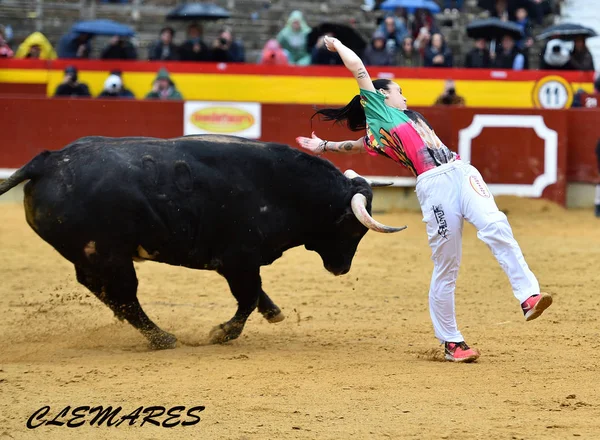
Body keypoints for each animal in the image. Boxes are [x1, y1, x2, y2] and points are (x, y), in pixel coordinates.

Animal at [0, 136, 406, 348]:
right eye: (354, 230)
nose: (342, 268)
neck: (283, 190)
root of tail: (47, 161)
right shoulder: (238, 259)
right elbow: (246, 298)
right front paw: (222, 333)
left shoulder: (240, 262)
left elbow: (254, 294)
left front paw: (273, 312)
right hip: (110, 255)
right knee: (124, 295)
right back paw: (162, 338)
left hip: (93, 255)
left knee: (101, 289)